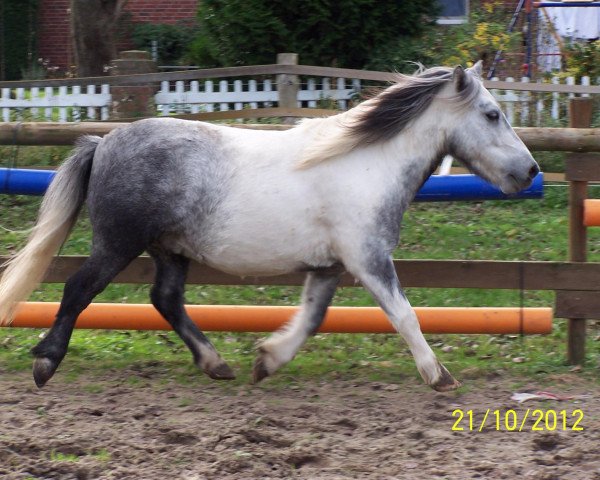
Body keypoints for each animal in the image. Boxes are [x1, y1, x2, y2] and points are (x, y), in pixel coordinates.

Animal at [0, 62, 540, 390]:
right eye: (492, 114)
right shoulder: (368, 259)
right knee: (78, 288)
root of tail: (104, 143)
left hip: (169, 249)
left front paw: (268, 359)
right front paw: (438, 375)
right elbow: (404, 315)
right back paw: (45, 362)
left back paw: (217, 364)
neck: (368, 164)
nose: (530, 171)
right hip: (117, 243)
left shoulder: (330, 266)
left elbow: (313, 318)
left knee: (166, 300)